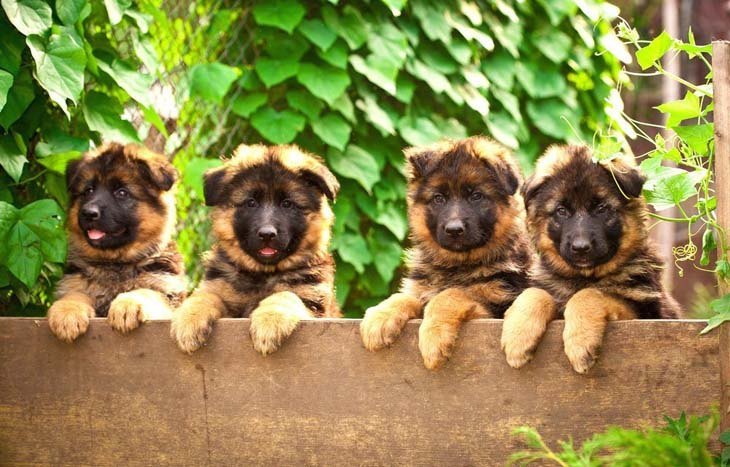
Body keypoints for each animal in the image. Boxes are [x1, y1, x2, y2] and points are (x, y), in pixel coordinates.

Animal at [47, 143, 186, 344]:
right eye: (88, 191)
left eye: (121, 193)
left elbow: (146, 291)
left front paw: (127, 305)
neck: (116, 262)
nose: (88, 213)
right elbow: (75, 294)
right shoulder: (75, 284)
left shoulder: (169, 296)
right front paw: (66, 313)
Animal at [171, 144, 342, 356]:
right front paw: (189, 320)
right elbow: (205, 295)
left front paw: (269, 322)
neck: (263, 275)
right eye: (251, 203)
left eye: (287, 204)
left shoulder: (314, 307)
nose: (267, 234)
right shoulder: (220, 291)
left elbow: (286, 294)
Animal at [358, 137, 528, 372]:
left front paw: (434, 338)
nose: (454, 230)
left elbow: (450, 295)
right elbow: (404, 296)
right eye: (439, 198)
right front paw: (379, 316)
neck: (456, 264)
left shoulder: (497, 305)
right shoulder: (421, 289)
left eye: (476, 196)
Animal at [498, 144, 680, 374]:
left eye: (601, 209)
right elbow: (535, 292)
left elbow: (592, 294)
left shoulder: (646, 314)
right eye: (561, 211)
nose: (581, 248)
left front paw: (580, 342)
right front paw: (518, 337)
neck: (583, 277)